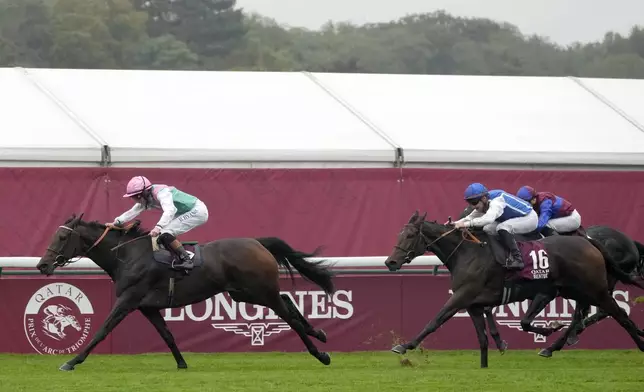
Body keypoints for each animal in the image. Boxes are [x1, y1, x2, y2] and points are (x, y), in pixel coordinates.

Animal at [35, 214, 338, 370]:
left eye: (63, 236)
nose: (42, 265)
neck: (129, 256)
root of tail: (257, 242)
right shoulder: (148, 306)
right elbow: (167, 335)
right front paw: (182, 364)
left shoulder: (128, 300)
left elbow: (102, 330)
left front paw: (72, 361)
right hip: (244, 292)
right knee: (287, 301)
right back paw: (318, 333)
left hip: (260, 291)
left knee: (288, 316)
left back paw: (320, 353)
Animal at [382, 211, 644, 368]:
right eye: (399, 233)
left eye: (411, 235)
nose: (390, 262)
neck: (468, 252)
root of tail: (589, 241)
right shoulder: (474, 304)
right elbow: (483, 337)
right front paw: (486, 364)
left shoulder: (462, 296)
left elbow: (435, 320)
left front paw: (404, 346)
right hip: (575, 291)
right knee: (589, 314)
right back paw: (556, 344)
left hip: (595, 289)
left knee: (617, 313)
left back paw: (639, 343)